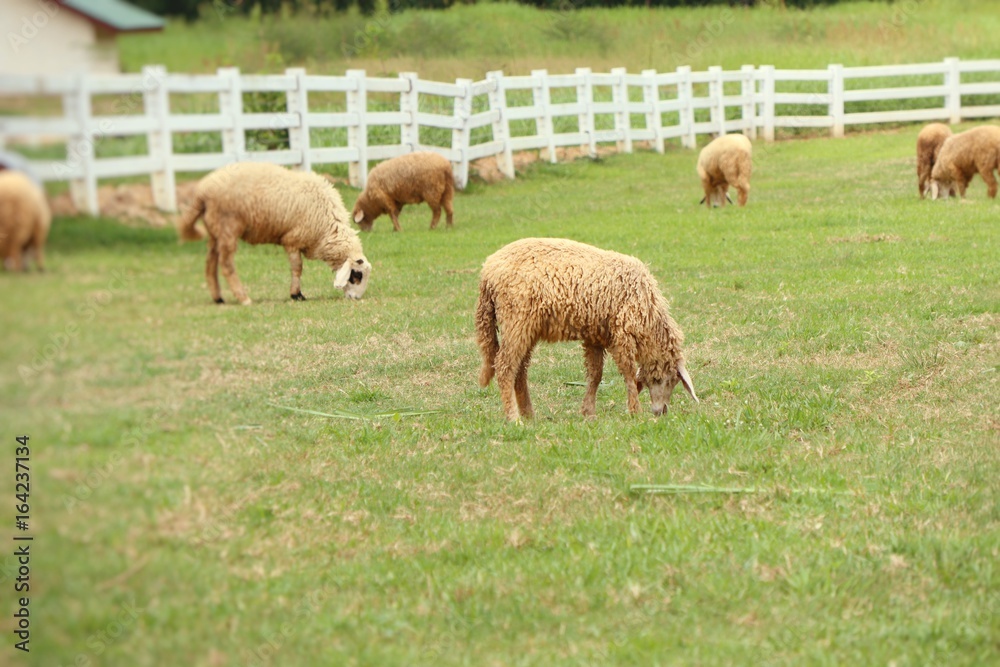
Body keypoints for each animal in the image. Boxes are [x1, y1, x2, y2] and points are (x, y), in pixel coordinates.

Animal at [177, 162, 371, 305]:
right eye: (357, 275)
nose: (356, 298)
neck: (328, 230)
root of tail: (204, 190)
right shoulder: (292, 240)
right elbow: (297, 268)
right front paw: (296, 294)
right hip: (228, 228)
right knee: (226, 264)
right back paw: (243, 298)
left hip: (215, 230)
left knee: (210, 263)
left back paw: (218, 298)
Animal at [475, 238, 698, 421]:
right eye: (668, 380)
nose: (661, 412)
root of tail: (487, 271)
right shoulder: (622, 333)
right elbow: (628, 374)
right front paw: (635, 411)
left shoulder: (595, 335)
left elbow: (595, 375)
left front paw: (588, 412)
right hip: (516, 321)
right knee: (505, 367)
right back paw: (514, 418)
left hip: (526, 328)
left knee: (520, 370)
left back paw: (529, 414)